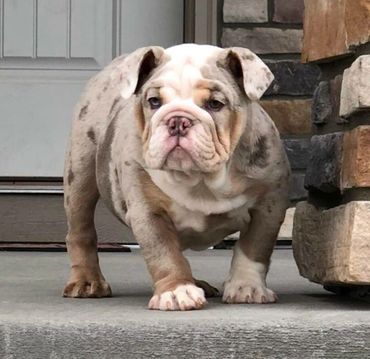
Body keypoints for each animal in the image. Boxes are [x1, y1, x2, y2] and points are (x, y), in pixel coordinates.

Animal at [62, 43, 290, 310]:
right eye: (154, 101)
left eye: (215, 104)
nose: (178, 120)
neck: (199, 178)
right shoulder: (148, 212)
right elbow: (165, 254)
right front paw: (176, 291)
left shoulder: (268, 207)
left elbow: (253, 248)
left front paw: (247, 287)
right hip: (80, 172)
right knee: (81, 230)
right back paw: (87, 281)